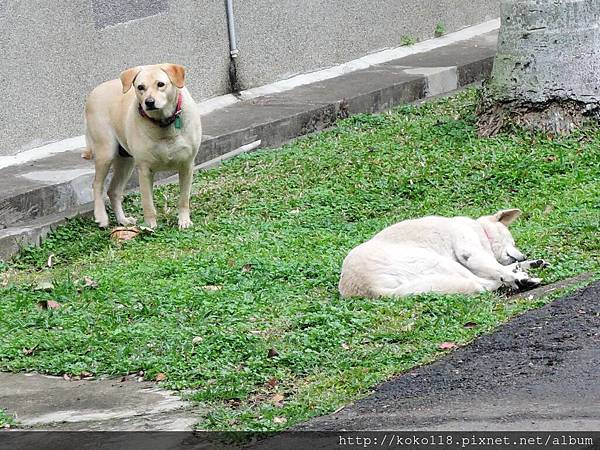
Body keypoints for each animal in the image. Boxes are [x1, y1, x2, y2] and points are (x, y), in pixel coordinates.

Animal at [83, 62, 203, 229]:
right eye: (140, 87)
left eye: (161, 84)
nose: (149, 102)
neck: (163, 123)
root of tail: (94, 91)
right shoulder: (145, 170)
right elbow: (147, 203)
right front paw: (150, 226)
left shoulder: (187, 165)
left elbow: (184, 199)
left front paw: (184, 221)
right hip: (105, 152)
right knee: (97, 185)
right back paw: (101, 216)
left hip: (126, 161)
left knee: (113, 191)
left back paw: (122, 220)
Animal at [340, 208, 548, 298]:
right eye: (512, 241)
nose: (524, 256)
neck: (481, 230)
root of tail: (367, 287)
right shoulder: (471, 254)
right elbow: (499, 269)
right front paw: (519, 275)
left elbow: (503, 267)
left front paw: (530, 264)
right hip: (435, 261)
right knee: (481, 284)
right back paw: (521, 282)